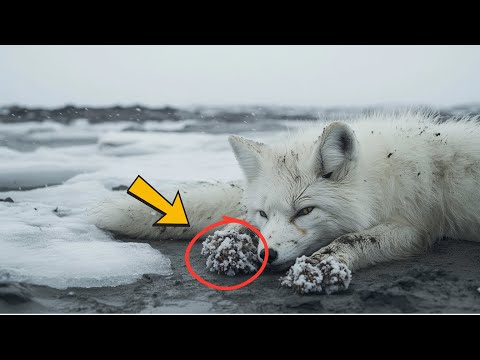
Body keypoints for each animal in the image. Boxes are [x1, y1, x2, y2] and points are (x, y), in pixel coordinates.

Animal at [93, 111, 480, 294]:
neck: (379, 178)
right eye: (263, 213)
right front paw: (232, 244)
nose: (268, 256)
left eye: (305, 211)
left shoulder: (416, 226)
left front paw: (321, 267)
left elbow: (355, 238)